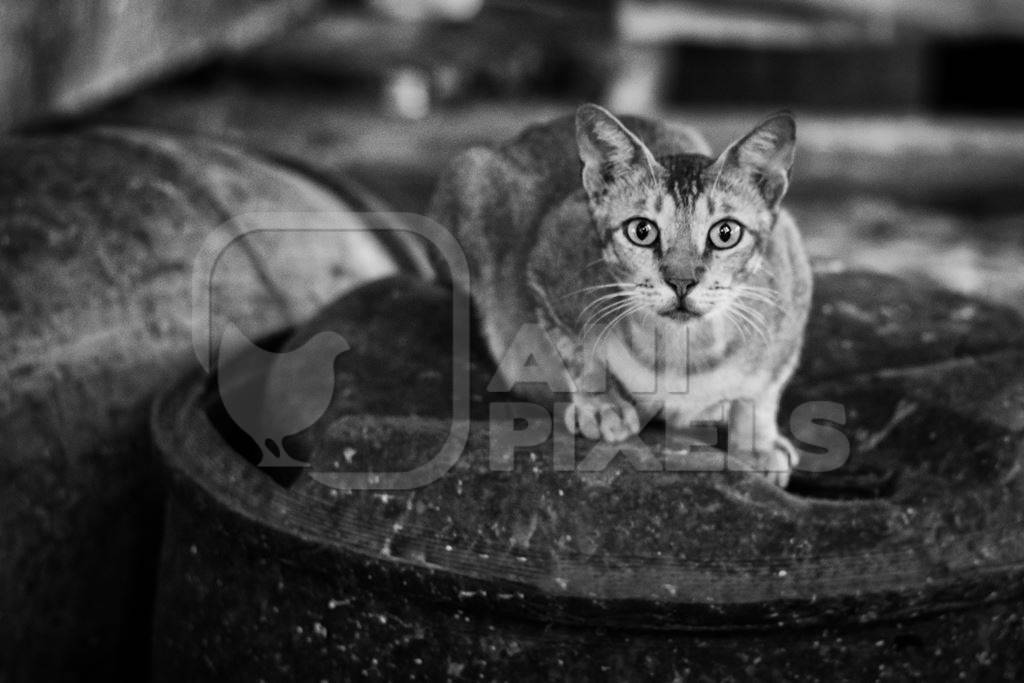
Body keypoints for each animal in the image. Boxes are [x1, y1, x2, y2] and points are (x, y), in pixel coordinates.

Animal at [428, 102, 811, 485]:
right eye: (642, 231)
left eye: (726, 233)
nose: (681, 281)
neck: (681, 355)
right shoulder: (549, 261)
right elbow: (578, 352)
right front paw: (602, 405)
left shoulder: (792, 289)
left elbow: (761, 392)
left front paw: (757, 444)